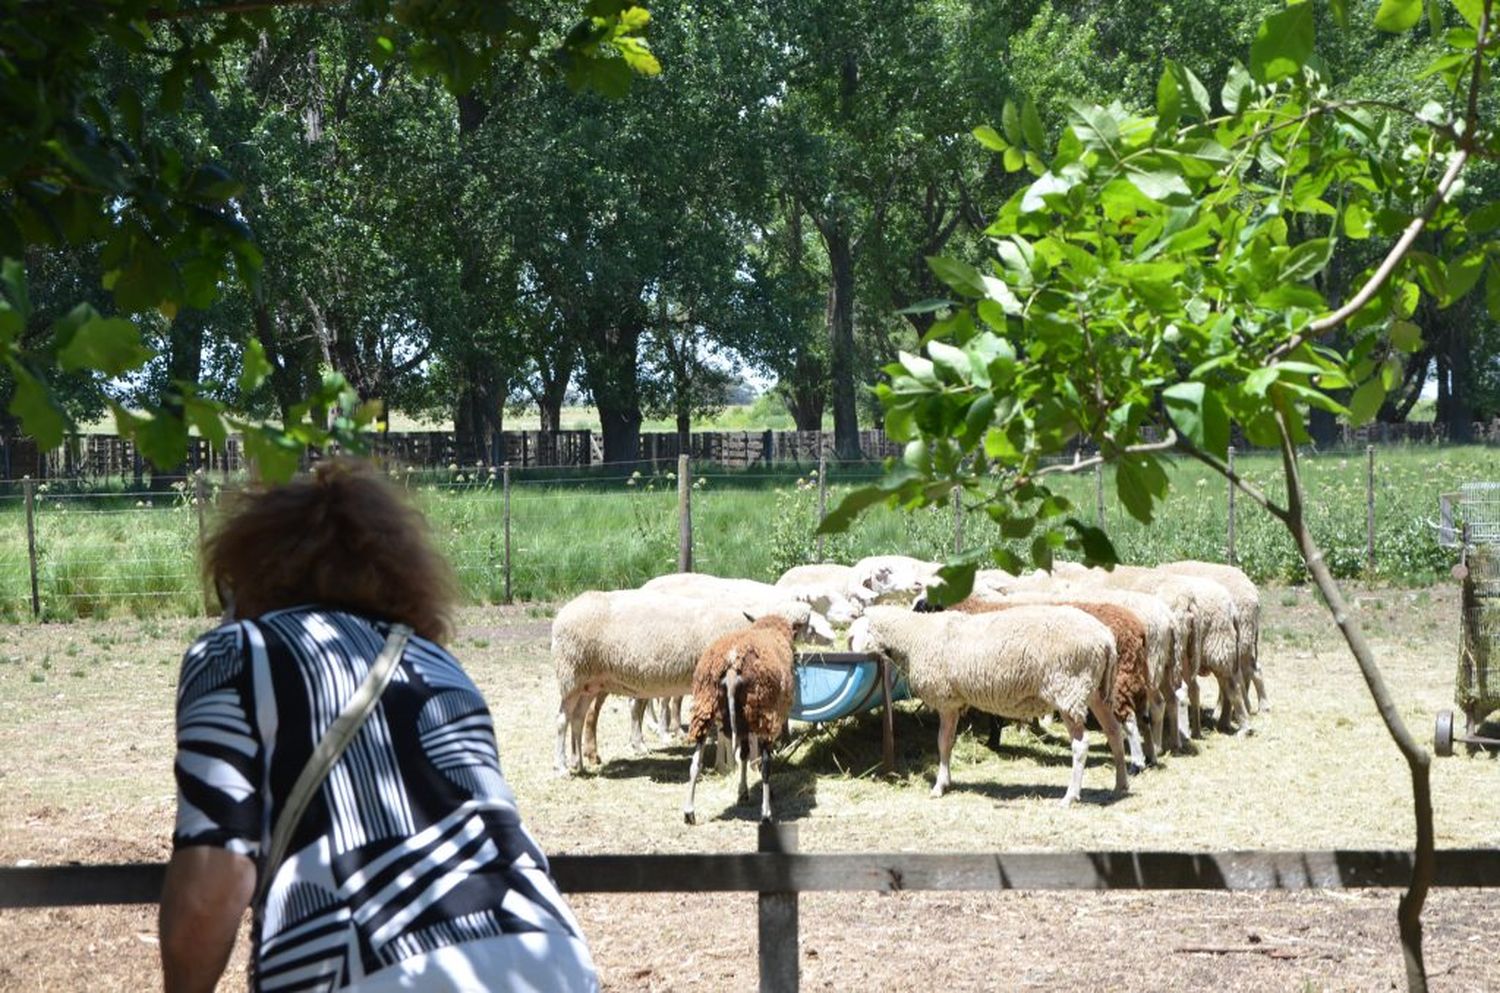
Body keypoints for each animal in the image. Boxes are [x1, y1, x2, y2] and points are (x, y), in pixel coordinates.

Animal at [549, 591, 810, 780]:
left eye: (792, 632)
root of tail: (563, 613)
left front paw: (730, 765)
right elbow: (724, 731)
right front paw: (729, 766)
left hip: (588, 682)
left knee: (577, 718)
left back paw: (578, 764)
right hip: (571, 674)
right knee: (562, 720)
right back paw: (562, 768)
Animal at [684, 615, 798, 822]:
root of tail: (732, 662)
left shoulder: (743, 723)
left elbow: (744, 754)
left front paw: (742, 791)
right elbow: (754, 758)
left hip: (705, 705)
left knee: (695, 762)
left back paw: (689, 812)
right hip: (764, 713)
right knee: (766, 766)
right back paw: (766, 813)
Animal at [846, 603, 1128, 804]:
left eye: (853, 635)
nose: (852, 657)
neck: (916, 636)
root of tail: (1105, 639)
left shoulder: (946, 699)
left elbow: (942, 742)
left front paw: (939, 786)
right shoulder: (955, 701)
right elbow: (948, 742)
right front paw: (946, 781)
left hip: (1068, 689)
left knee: (1081, 744)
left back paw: (1070, 796)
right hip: (1094, 692)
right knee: (1114, 731)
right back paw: (1120, 785)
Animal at [948, 600, 1158, 780]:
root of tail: (1138, 628)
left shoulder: (991, 681)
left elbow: (995, 716)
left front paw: (993, 741)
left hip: (1117, 681)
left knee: (1129, 719)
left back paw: (1136, 764)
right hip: (1134, 676)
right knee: (1144, 718)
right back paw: (1150, 759)